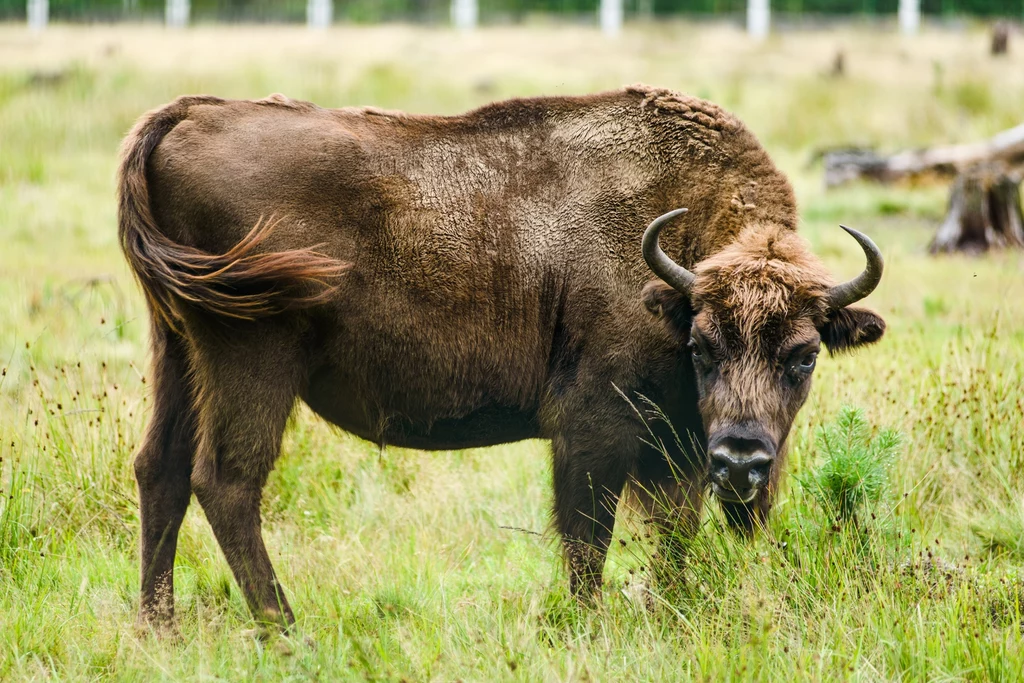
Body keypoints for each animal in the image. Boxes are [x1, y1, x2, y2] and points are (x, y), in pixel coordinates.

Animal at [119, 87, 884, 630]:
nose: (745, 460)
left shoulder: (684, 450)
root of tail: (189, 112)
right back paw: (285, 626)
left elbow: (672, 536)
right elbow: (588, 535)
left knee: (161, 468)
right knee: (226, 479)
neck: (679, 256)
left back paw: (159, 625)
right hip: (252, 359)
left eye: (804, 356)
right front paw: (588, 624)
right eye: (701, 345)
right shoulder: (594, 426)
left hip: (177, 350)